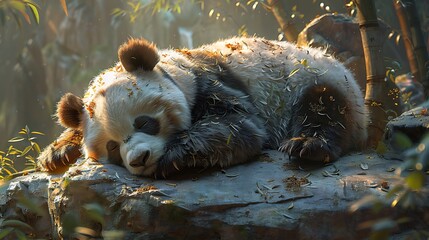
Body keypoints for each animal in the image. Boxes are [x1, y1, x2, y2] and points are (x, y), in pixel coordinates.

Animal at [36, 36, 366, 177]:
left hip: (312, 80)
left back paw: (306, 145)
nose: (140, 159)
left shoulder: (208, 82)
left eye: (145, 122)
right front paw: (57, 153)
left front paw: (174, 157)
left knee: (325, 107)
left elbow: (238, 128)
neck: (177, 66)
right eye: (113, 147)